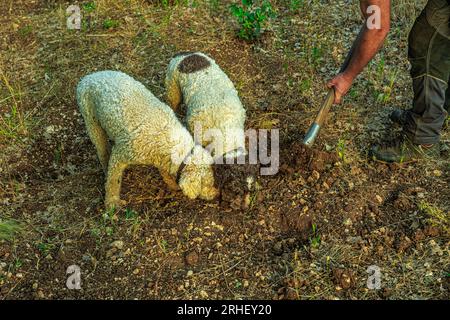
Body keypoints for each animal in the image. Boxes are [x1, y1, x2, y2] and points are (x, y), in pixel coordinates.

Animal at [76, 71, 219, 209]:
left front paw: (172, 184)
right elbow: (113, 181)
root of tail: (88, 77)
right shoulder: (121, 154)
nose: (216, 194)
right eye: (206, 185)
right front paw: (112, 203)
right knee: (102, 150)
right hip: (91, 121)